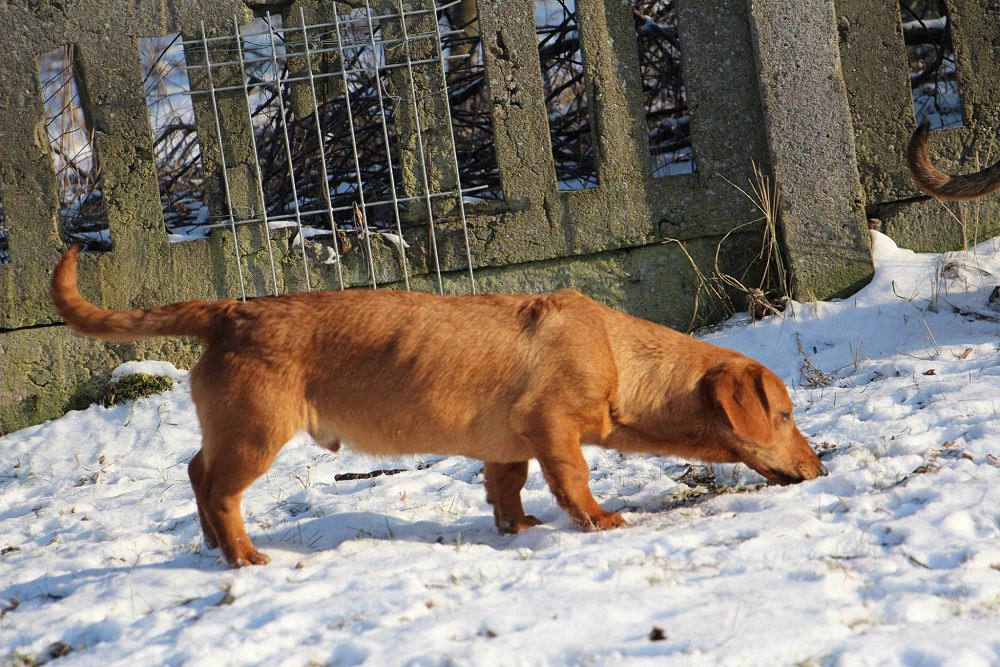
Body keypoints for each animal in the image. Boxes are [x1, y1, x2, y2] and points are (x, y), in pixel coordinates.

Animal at [51, 246, 826, 567]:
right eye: (786, 415)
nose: (820, 470)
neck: (619, 354)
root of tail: (229, 312)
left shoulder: (509, 448)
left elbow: (508, 490)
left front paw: (518, 528)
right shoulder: (552, 429)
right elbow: (574, 479)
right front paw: (599, 520)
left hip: (232, 429)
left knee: (193, 470)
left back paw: (215, 547)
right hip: (256, 434)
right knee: (217, 489)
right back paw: (242, 554)